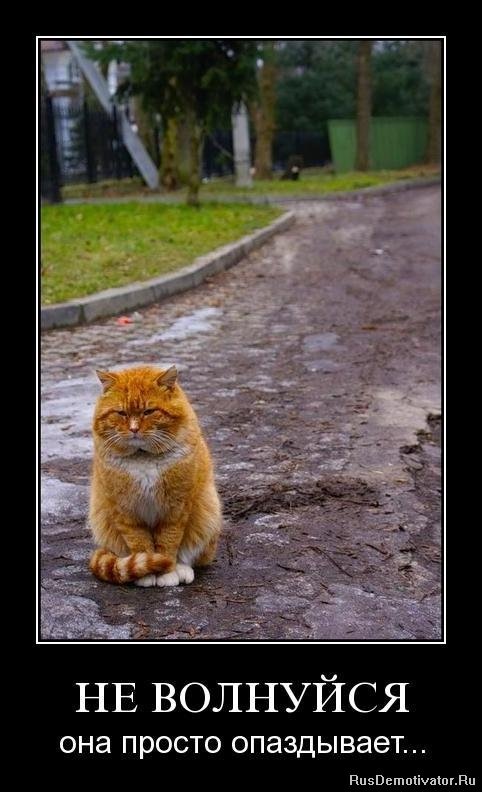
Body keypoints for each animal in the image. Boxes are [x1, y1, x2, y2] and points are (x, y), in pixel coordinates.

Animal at [88, 365, 222, 587]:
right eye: (121, 413)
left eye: (149, 411)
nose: (134, 429)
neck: (144, 458)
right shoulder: (126, 512)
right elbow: (140, 544)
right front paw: (148, 573)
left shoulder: (175, 510)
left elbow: (168, 543)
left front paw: (167, 571)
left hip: (208, 511)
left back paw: (182, 569)